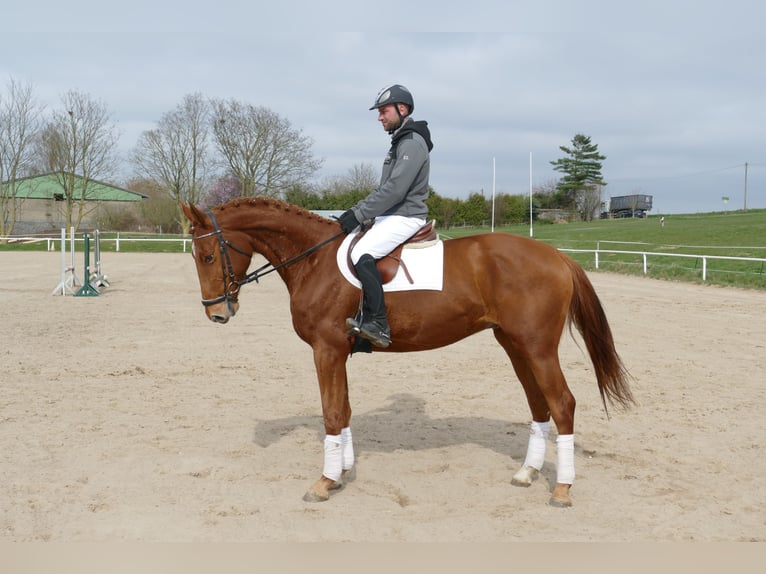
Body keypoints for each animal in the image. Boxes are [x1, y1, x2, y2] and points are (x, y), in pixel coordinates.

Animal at [181, 197, 633, 507]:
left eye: (208, 255)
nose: (217, 314)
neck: (315, 260)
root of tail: (556, 256)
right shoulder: (338, 352)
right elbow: (344, 409)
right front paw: (343, 470)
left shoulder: (326, 350)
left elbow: (331, 412)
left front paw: (324, 482)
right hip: (515, 345)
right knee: (539, 404)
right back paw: (526, 473)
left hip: (537, 348)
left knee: (563, 403)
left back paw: (562, 489)